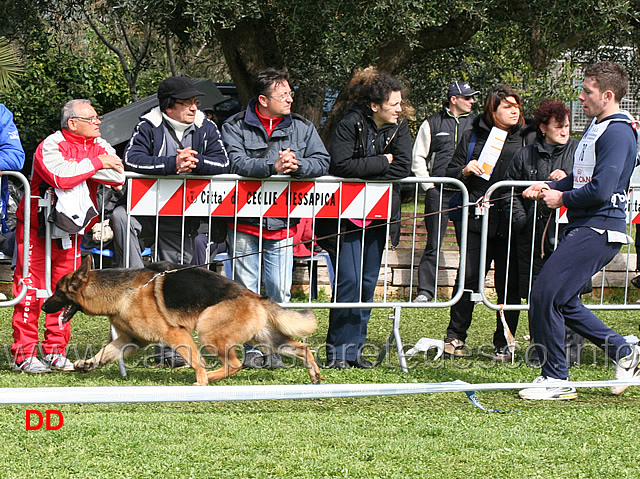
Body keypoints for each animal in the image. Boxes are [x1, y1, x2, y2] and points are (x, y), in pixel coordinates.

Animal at [42, 255, 322, 386]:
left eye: (57, 291)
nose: (43, 306)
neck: (124, 292)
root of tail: (255, 295)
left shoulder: (176, 334)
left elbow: (196, 361)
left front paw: (201, 377)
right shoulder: (130, 340)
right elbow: (105, 352)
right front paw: (87, 364)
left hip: (208, 331)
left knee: (234, 364)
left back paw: (207, 379)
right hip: (265, 340)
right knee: (301, 347)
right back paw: (314, 373)